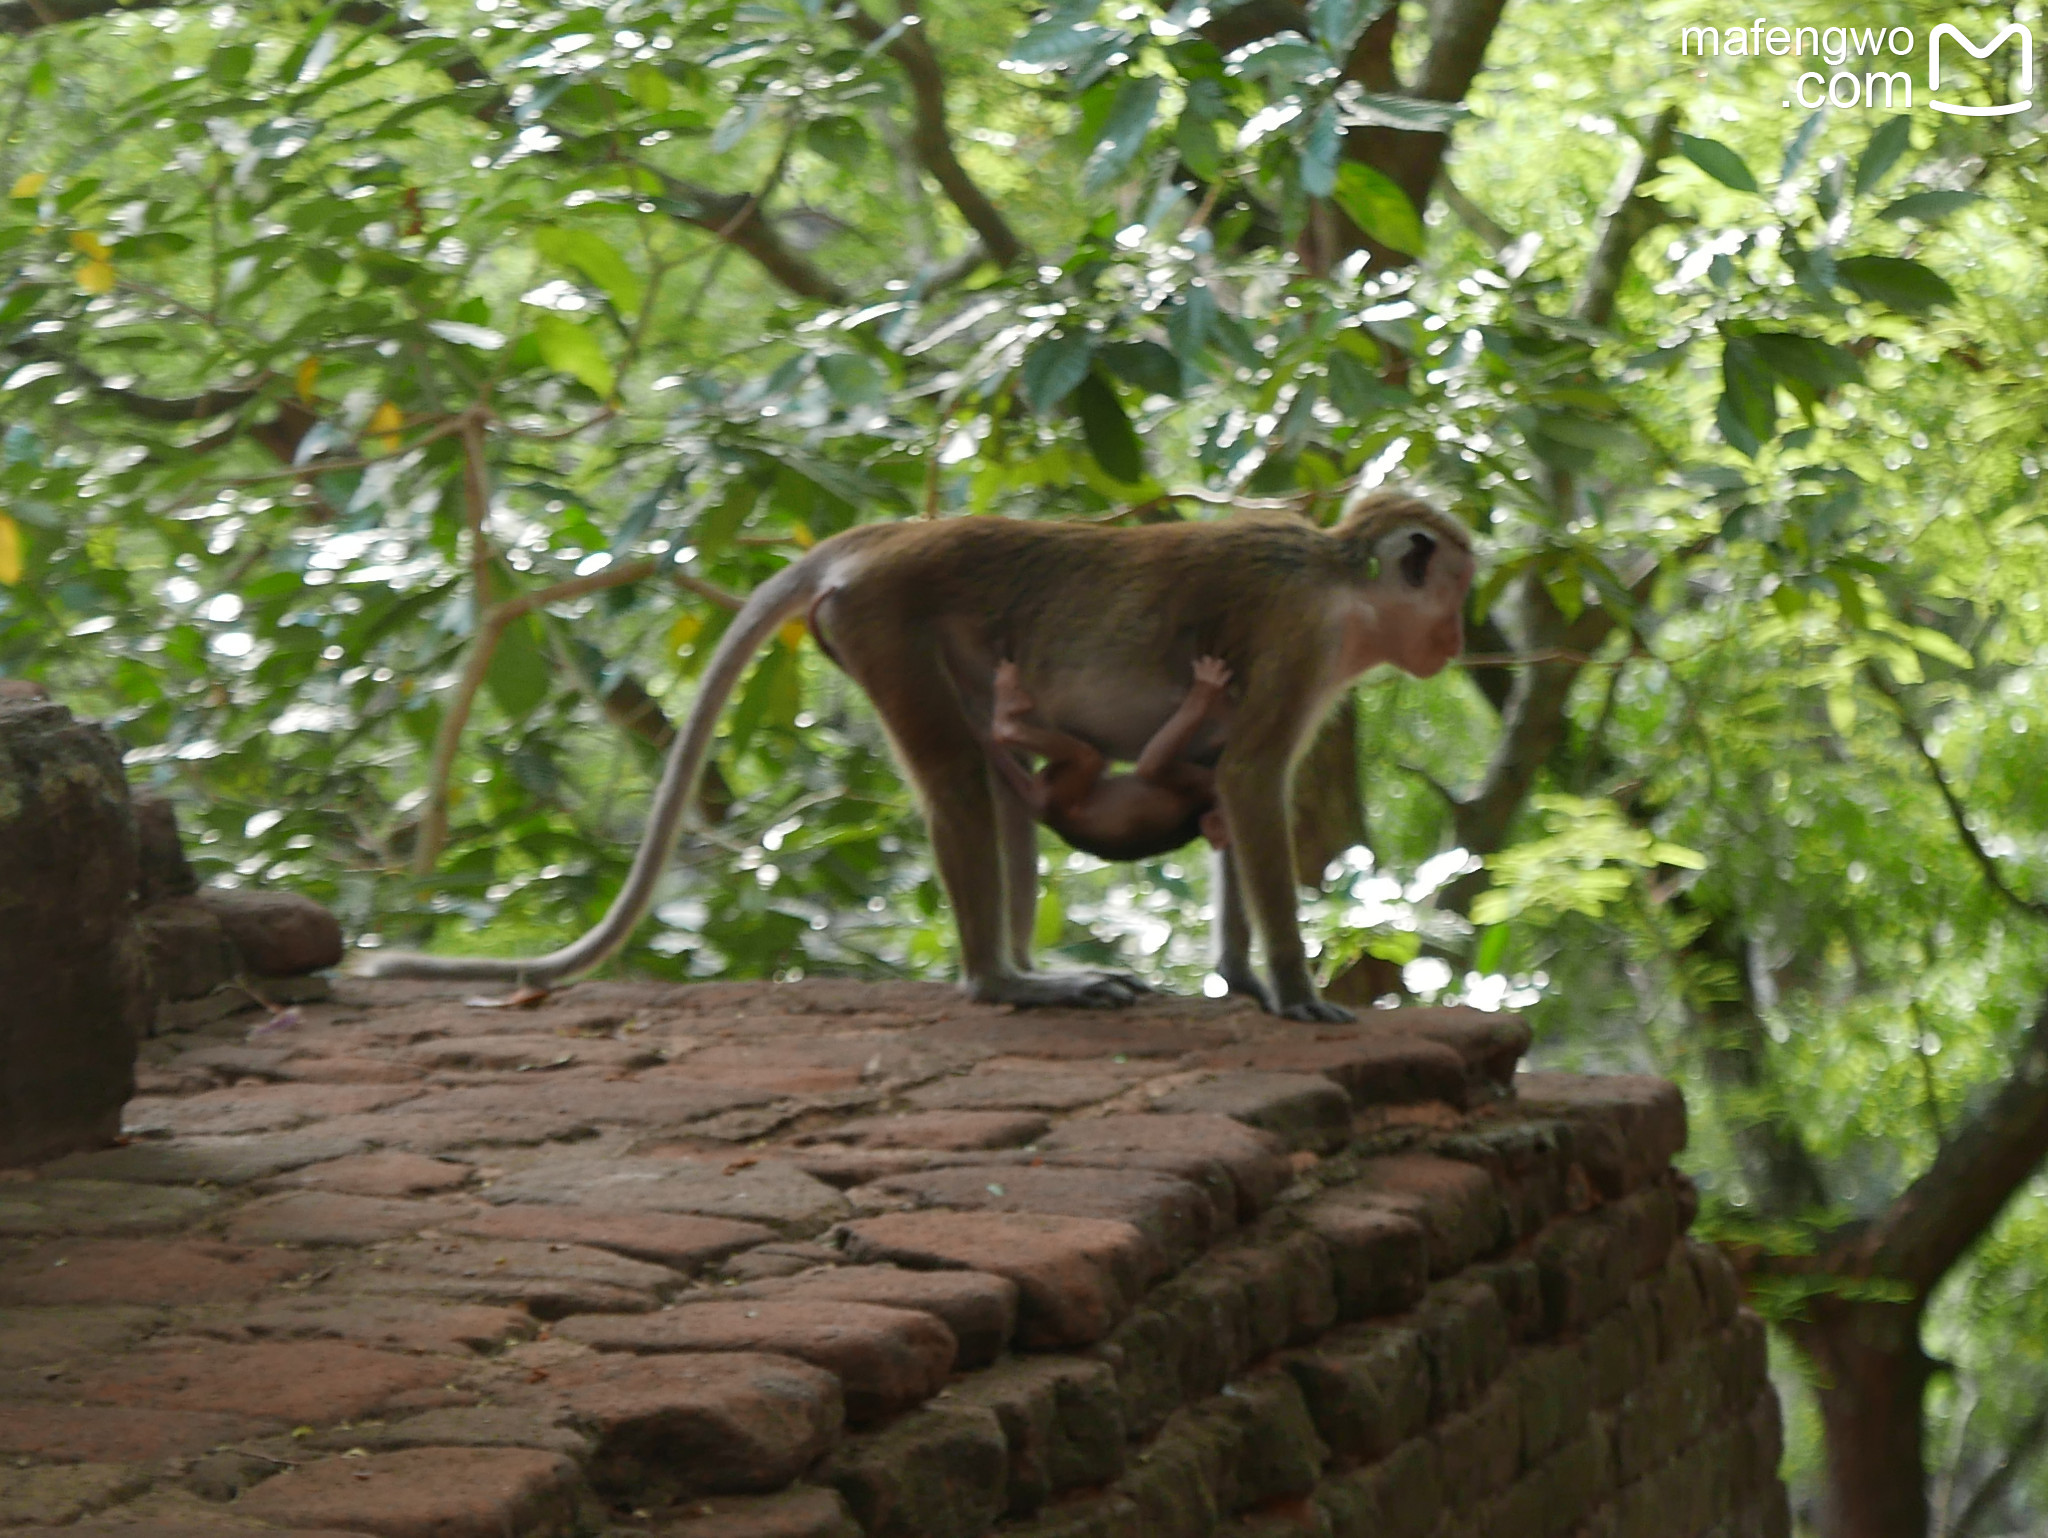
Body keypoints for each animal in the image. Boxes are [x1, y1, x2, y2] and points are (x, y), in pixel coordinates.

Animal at [978, 655, 1228, 860]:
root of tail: (1047, 817)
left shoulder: (1206, 784)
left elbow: (1151, 767)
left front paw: (1206, 689)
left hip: (1059, 794)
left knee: (1088, 756)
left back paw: (1006, 717)